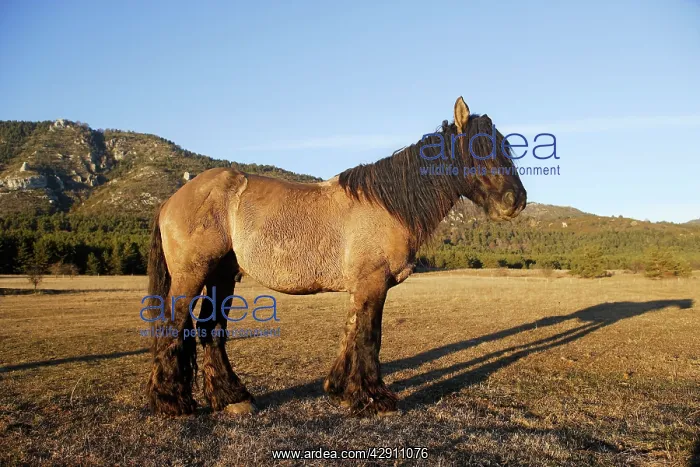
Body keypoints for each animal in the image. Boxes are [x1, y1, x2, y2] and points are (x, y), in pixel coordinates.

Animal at [145, 96, 527, 416]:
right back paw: (172, 403)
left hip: (222, 276)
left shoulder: (362, 286)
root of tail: (172, 199)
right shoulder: (373, 284)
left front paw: (342, 390)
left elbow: (351, 332)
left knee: (210, 330)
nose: (516, 200)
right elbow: (370, 337)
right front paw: (376, 399)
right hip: (192, 275)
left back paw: (231, 398)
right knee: (173, 326)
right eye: (477, 150)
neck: (389, 205)